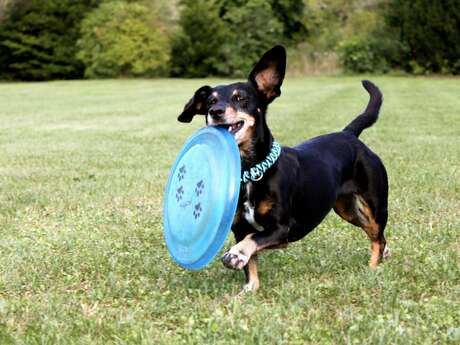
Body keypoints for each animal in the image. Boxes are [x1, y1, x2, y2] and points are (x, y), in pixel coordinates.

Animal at [176, 45, 388, 292]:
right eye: (210, 101)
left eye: (241, 98)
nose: (216, 111)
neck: (252, 172)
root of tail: (349, 135)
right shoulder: (241, 228)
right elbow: (251, 263)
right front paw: (249, 289)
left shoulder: (281, 230)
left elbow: (253, 241)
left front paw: (235, 255)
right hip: (346, 208)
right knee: (374, 233)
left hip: (376, 203)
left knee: (377, 234)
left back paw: (373, 266)